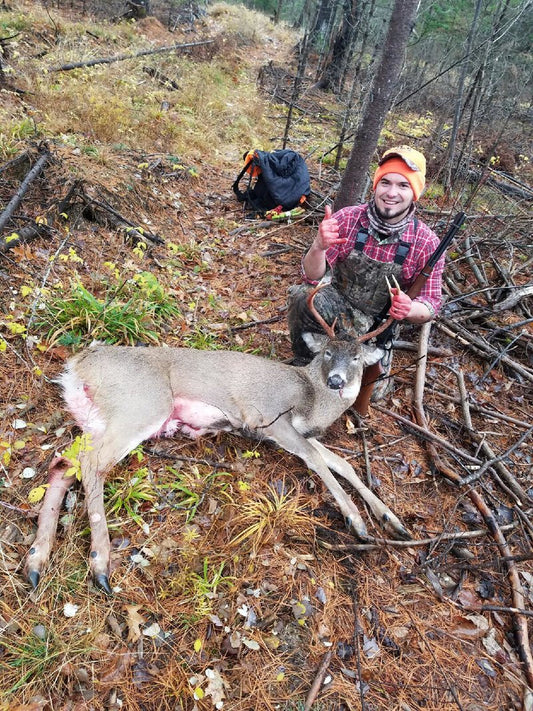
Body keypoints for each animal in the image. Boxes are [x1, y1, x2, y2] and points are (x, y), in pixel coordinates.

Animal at [25, 290, 408, 596]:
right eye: (327, 352)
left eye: (356, 357)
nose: (337, 381)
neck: (312, 399)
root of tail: (77, 363)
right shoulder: (270, 418)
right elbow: (316, 460)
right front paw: (356, 521)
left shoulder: (304, 432)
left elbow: (343, 463)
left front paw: (392, 520)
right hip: (142, 404)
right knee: (93, 466)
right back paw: (100, 564)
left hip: (94, 419)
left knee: (63, 463)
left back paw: (36, 561)